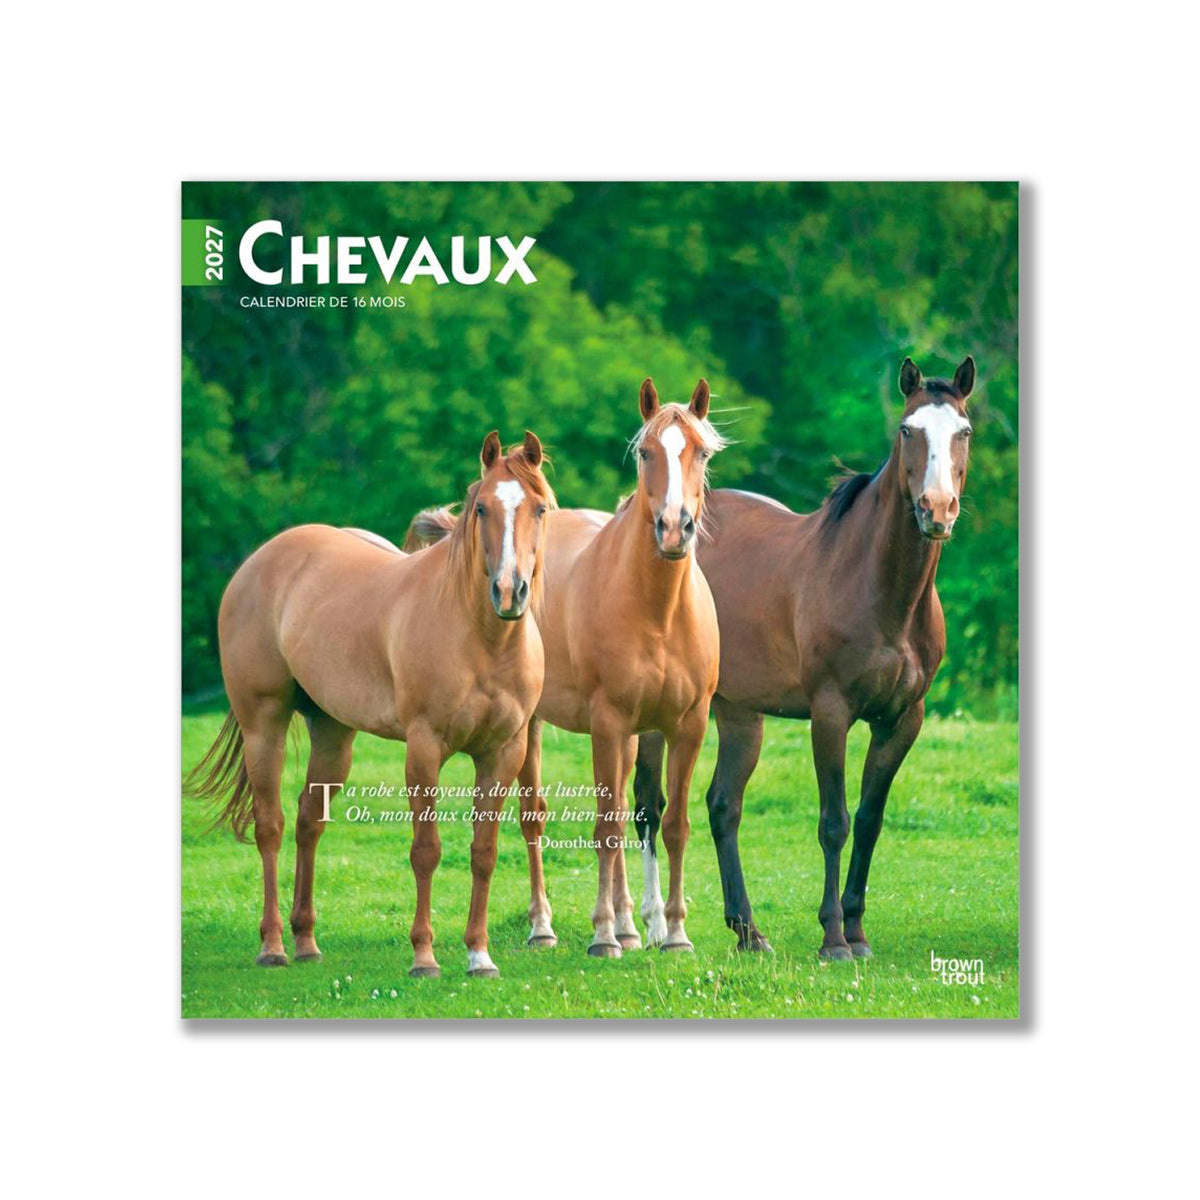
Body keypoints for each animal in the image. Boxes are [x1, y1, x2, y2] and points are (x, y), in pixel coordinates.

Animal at [185, 431, 555, 979]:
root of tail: (260, 561)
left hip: (333, 735)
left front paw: (479, 955)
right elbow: (426, 850)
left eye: (540, 509)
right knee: (270, 826)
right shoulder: (424, 749)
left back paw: (306, 941)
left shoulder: (503, 752)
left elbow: (484, 852)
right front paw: (424, 956)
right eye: (482, 508)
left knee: (308, 821)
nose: (509, 591)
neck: (481, 639)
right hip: (264, 726)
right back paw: (273, 946)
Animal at [406, 379, 724, 957]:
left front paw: (674, 933)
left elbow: (673, 825)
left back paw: (631, 924)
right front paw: (601, 934)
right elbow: (605, 829)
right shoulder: (608, 722)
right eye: (646, 452)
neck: (659, 610)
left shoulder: (686, 725)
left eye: (702, 453)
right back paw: (545, 926)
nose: (673, 529)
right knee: (535, 819)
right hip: (532, 727)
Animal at [634, 356, 977, 959]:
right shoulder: (830, 713)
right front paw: (834, 938)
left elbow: (869, 819)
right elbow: (834, 821)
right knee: (651, 806)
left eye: (963, 431)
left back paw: (748, 932)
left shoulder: (902, 720)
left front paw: (857, 930)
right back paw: (655, 927)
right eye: (907, 430)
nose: (936, 509)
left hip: (740, 713)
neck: (880, 587)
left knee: (723, 806)